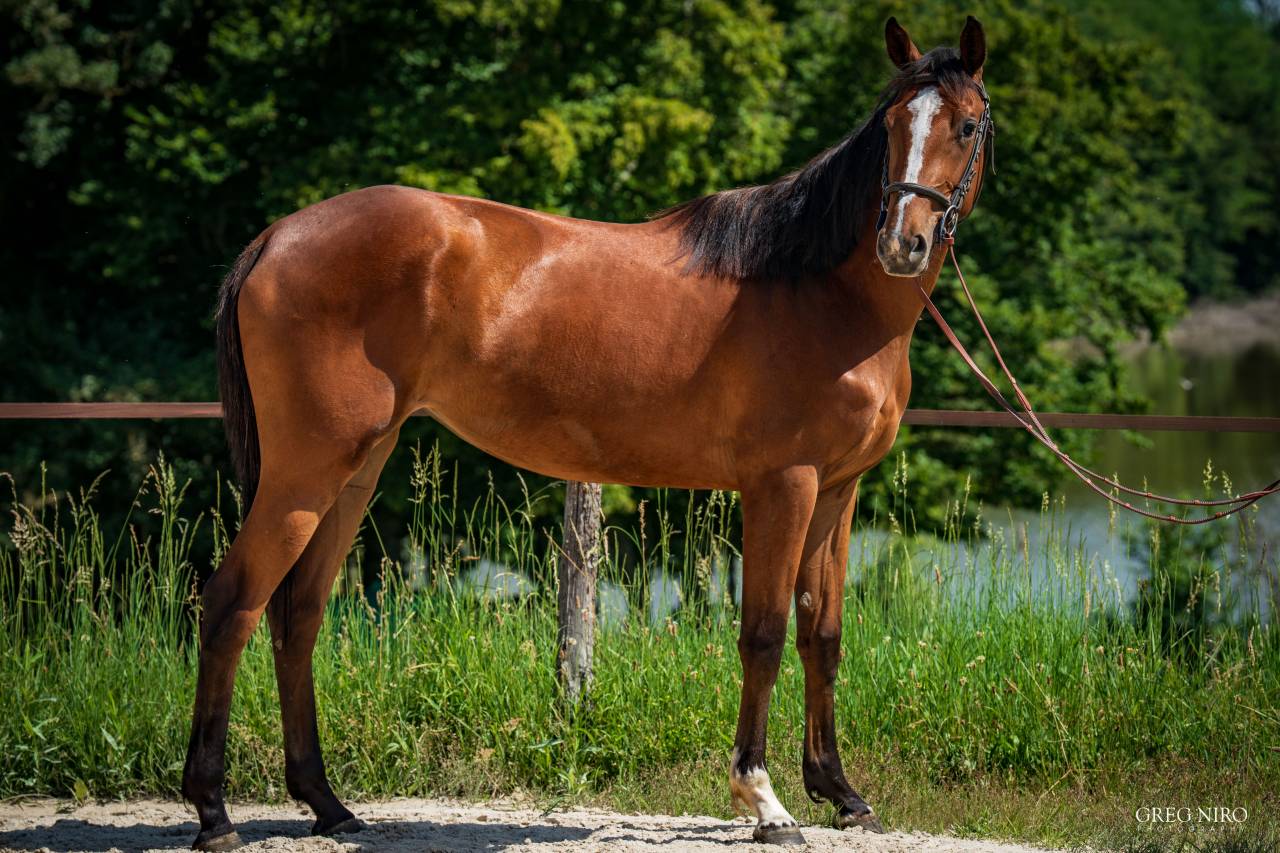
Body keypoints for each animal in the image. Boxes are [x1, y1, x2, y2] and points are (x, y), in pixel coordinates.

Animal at [183, 15, 993, 849]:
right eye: (892, 126)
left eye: (965, 125)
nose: (902, 244)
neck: (820, 291)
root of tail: (278, 236)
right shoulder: (783, 485)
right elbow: (764, 634)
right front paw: (764, 800)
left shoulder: (837, 490)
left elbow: (821, 634)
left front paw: (840, 790)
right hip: (304, 472)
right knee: (231, 605)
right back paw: (214, 812)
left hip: (354, 470)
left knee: (299, 614)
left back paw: (328, 802)